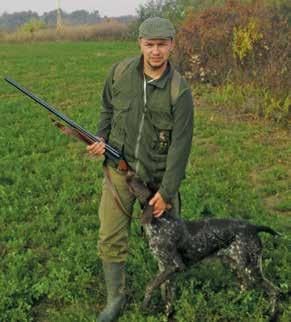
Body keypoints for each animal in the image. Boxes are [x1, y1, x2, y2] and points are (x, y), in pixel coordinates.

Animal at [126, 171, 282, 320]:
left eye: (142, 181)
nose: (129, 172)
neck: (160, 222)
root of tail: (254, 227)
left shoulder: (174, 266)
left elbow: (150, 287)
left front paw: (143, 307)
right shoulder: (165, 268)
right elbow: (168, 297)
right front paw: (166, 315)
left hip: (251, 267)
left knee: (274, 290)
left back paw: (272, 315)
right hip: (233, 264)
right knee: (245, 286)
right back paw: (233, 302)